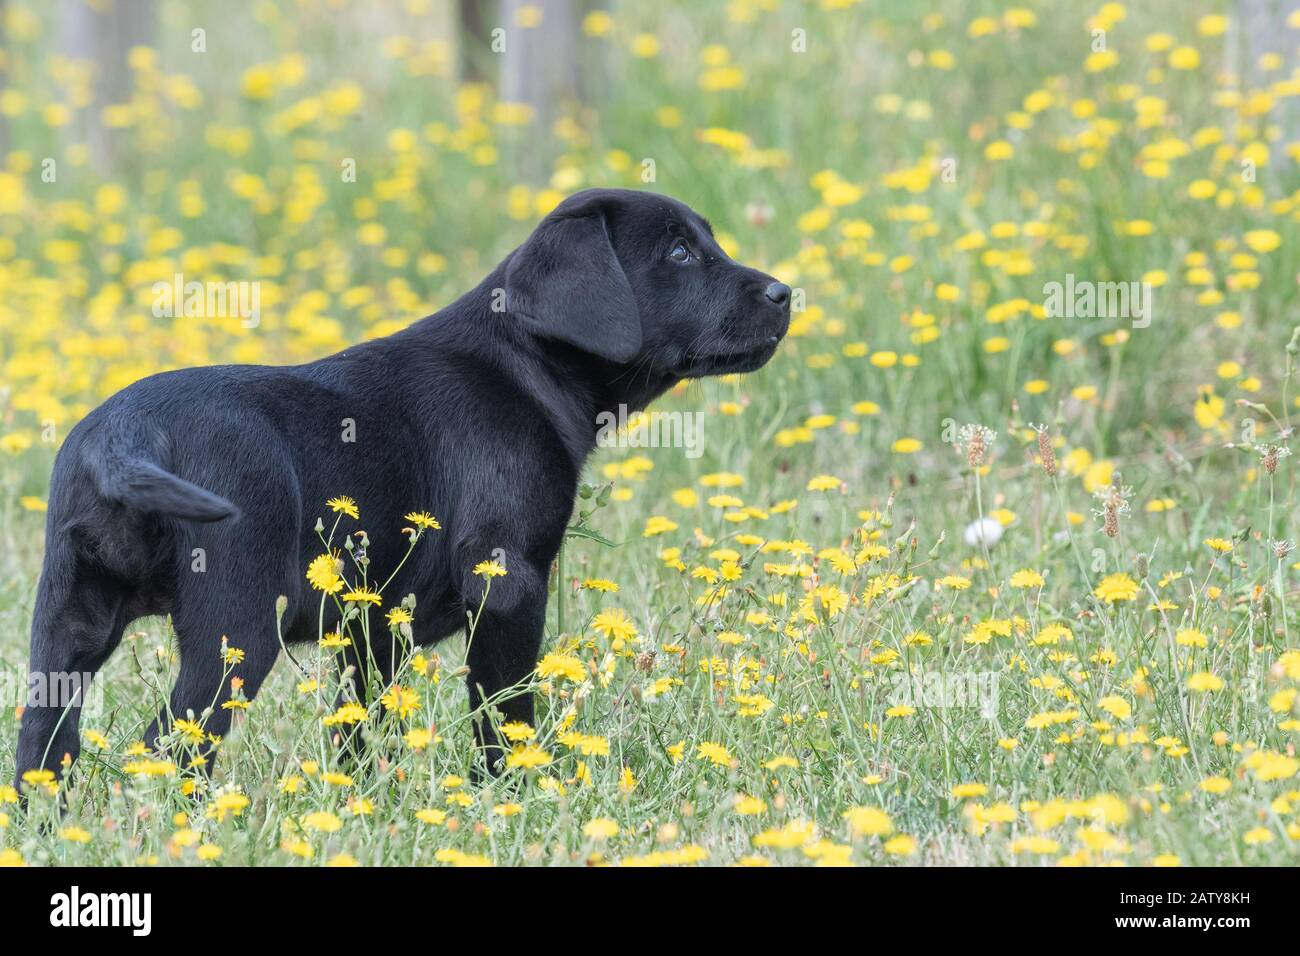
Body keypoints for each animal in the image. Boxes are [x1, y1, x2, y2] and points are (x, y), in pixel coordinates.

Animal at [12, 184, 790, 785]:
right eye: (679, 254)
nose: (787, 293)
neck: (525, 363)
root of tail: (124, 433)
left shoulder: (374, 630)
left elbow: (358, 730)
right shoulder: (508, 587)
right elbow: (503, 717)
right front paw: (513, 795)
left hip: (66, 625)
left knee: (42, 747)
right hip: (234, 632)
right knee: (167, 747)